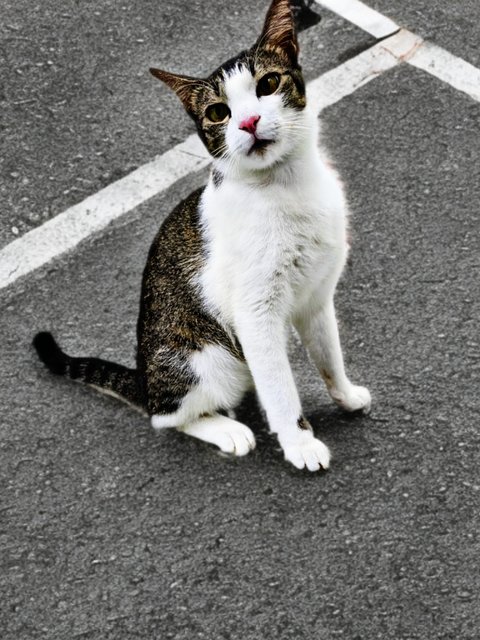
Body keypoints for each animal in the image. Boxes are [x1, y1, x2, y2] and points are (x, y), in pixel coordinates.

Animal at [33, 0, 372, 470]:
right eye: (217, 113)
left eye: (269, 84)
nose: (248, 121)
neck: (286, 188)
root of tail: (144, 378)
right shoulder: (255, 312)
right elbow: (280, 389)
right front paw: (300, 443)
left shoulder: (317, 297)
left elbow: (328, 355)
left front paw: (346, 395)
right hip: (205, 356)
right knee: (166, 415)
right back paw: (227, 430)